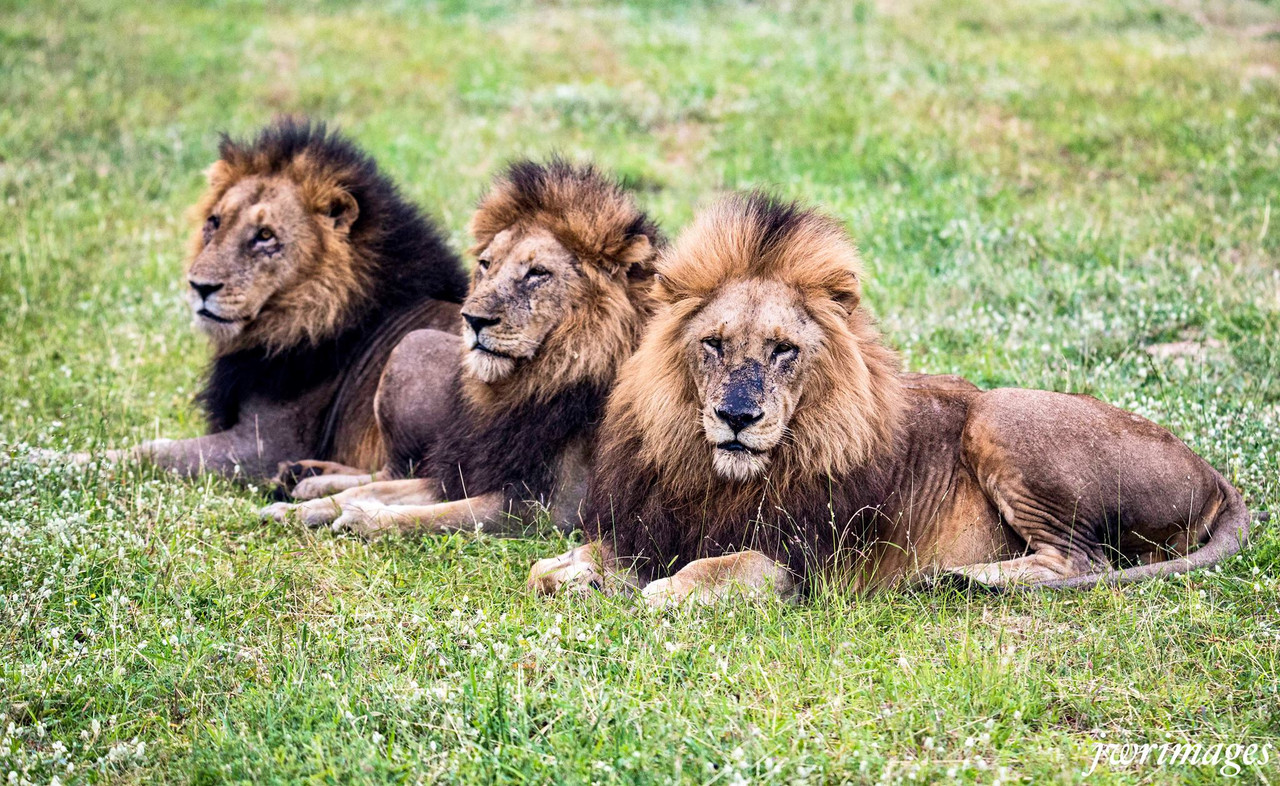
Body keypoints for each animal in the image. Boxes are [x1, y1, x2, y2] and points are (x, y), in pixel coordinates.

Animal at [55, 120, 468, 483]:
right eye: (214, 222)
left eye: (265, 235)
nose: (199, 286)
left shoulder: (264, 446)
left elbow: (149, 451)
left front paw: (48, 460)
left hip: (412, 348)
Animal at [259, 156, 660, 540]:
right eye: (485, 265)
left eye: (537, 274)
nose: (472, 319)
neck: (530, 386)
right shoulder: (462, 472)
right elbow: (381, 490)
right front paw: (298, 511)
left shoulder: (547, 511)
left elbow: (436, 515)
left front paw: (365, 519)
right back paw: (303, 478)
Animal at [527, 194, 1249, 606]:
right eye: (713, 344)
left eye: (784, 350)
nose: (737, 417)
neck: (717, 476)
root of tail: (1215, 475)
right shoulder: (651, 525)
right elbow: (554, 566)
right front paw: (569, 573)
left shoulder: (799, 565)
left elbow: (706, 574)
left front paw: (659, 591)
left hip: (1001, 415)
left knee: (1079, 559)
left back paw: (961, 579)